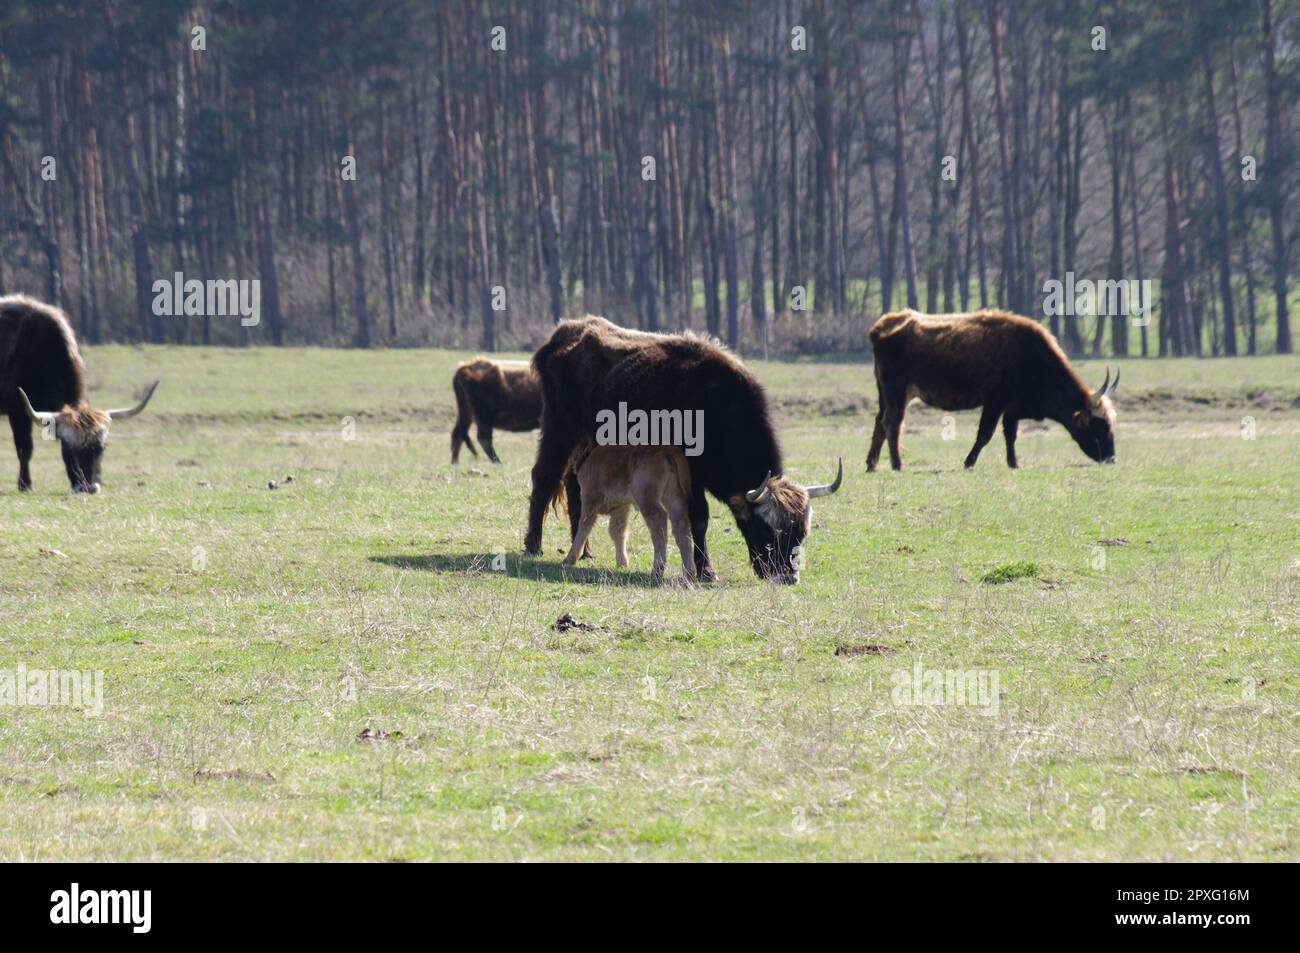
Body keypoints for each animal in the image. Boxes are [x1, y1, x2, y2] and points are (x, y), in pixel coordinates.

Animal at [561, 439, 696, 579]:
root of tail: (666, 449)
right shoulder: (621, 506)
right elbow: (617, 531)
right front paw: (622, 562)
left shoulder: (589, 498)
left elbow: (583, 528)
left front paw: (570, 559)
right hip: (673, 496)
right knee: (680, 524)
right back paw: (689, 572)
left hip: (646, 498)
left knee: (659, 523)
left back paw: (657, 570)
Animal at [863, 310, 1118, 470]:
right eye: (1099, 425)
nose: (1111, 457)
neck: (1032, 357)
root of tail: (881, 326)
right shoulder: (995, 402)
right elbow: (985, 433)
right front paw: (969, 462)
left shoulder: (1011, 408)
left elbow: (1010, 434)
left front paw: (1014, 463)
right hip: (897, 392)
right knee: (893, 424)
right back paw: (897, 465)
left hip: (889, 395)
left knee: (880, 423)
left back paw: (872, 465)